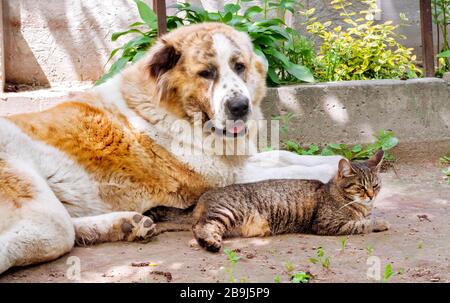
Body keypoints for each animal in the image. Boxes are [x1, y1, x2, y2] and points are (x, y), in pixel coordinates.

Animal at [0, 22, 342, 274]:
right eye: (206, 73)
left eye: (239, 66)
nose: (240, 107)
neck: (175, 112)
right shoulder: (226, 178)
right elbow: (295, 170)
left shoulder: (239, 162)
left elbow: (287, 156)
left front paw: (338, 160)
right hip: (41, 209)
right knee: (56, 235)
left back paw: (128, 225)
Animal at [192, 150, 388, 252]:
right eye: (360, 187)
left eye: (376, 185)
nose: (371, 195)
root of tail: (206, 195)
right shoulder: (327, 224)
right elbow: (362, 224)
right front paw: (379, 222)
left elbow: (363, 220)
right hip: (228, 212)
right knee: (202, 226)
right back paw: (211, 243)